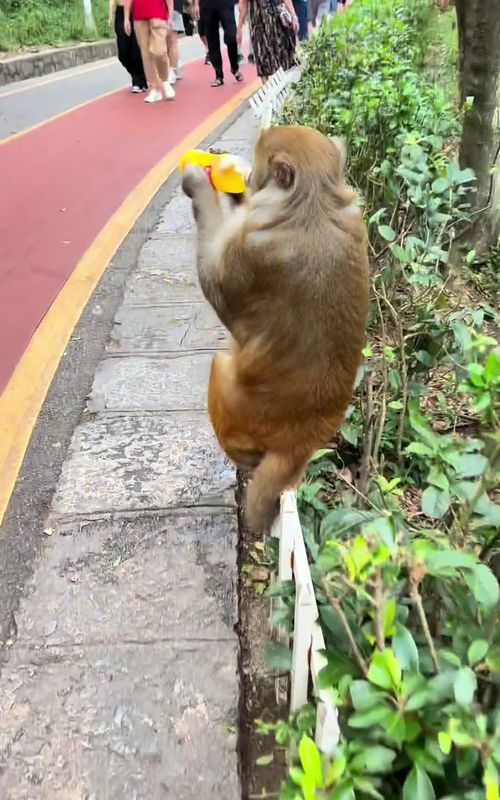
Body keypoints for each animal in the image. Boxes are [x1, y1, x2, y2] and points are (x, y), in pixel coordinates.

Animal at [181, 125, 370, 533]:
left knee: (220, 365)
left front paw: (200, 187)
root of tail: (303, 438)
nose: (250, 177)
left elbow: (217, 288)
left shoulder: (251, 252)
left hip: (238, 410)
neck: (314, 204)